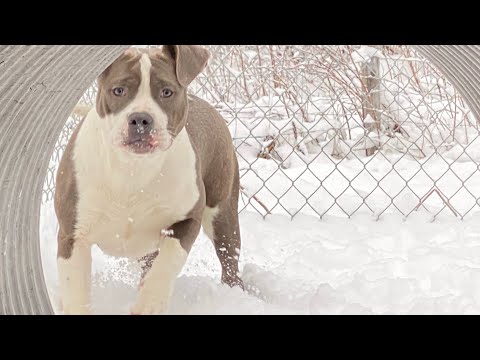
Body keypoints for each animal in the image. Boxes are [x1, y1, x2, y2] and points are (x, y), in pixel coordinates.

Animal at [53, 45, 244, 316]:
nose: (141, 119)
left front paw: (149, 304)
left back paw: (234, 291)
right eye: (119, 90)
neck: (133, 169)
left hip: (222, 212)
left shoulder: (187, 220)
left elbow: (166, 263)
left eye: (166, 92)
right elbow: (75, 289)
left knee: (229, 256)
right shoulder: (73, 233)